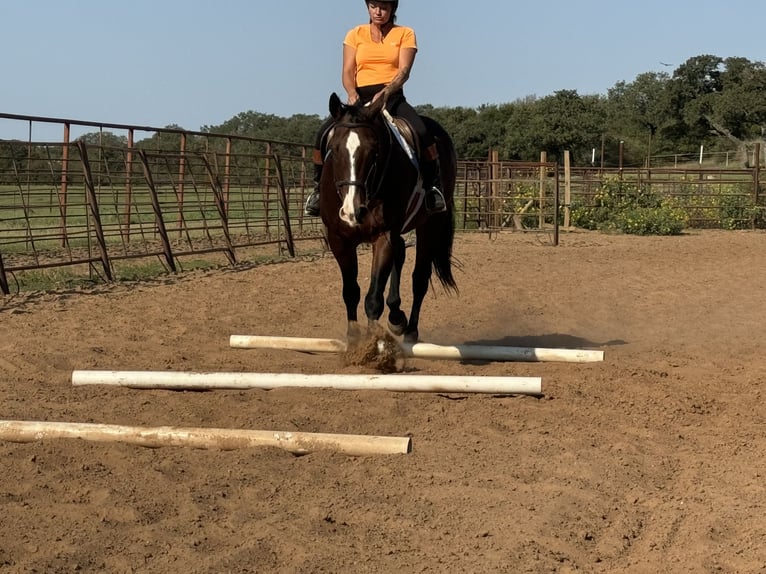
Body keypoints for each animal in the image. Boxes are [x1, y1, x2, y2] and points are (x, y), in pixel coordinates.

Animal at [316, 93, 456, 346]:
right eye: (334, 149)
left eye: (374, 151)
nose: (352, 211)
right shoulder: (338, 239)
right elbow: (350, 291)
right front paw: (353, 339)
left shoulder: (384, 236)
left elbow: (373, 298)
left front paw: (373, 345)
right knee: (400, 255)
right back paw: (396, 316)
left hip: (430, 224)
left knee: (419, 278)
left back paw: (410, 331)